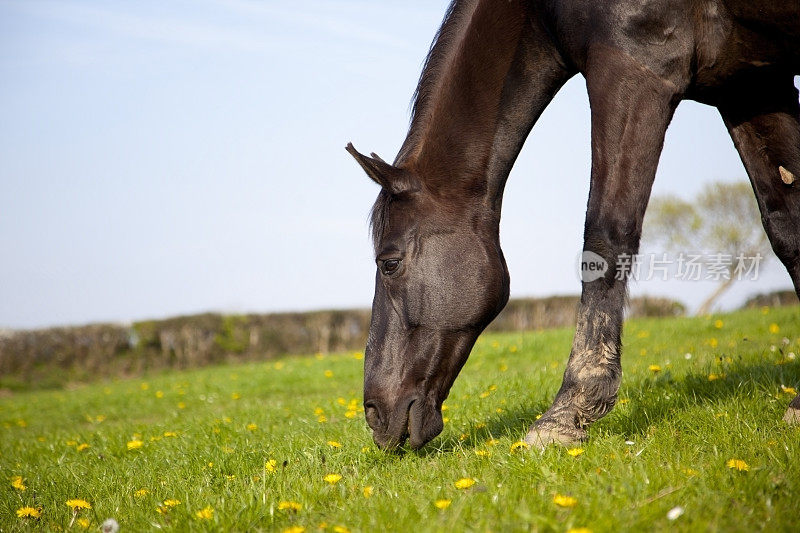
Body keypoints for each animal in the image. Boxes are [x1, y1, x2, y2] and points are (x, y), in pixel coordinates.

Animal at [346, 0, 796, 448]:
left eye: (389, 263)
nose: (373, 414)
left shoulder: (634, 70)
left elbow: (606, 234)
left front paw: (565, 413)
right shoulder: (750, 85)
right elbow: (786, 226)